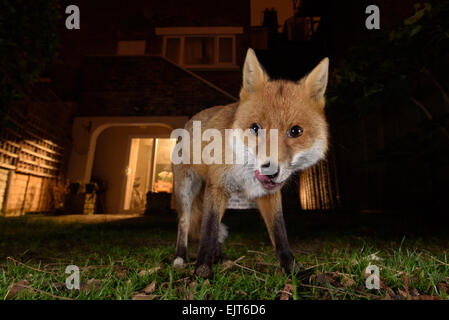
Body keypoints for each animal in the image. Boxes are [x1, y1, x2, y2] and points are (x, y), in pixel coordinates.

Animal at [172, 48, 328, 278]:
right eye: (255, 127)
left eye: (296, 131)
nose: (270, 170)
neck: (245, 173)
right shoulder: (217, 187)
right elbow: (208, 231)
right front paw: (201, 273)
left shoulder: (269, 195)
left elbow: (280, 235)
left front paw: (293, 272)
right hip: (186, 190)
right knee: (184, 223)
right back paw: (180, 258)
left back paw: (221, 258)